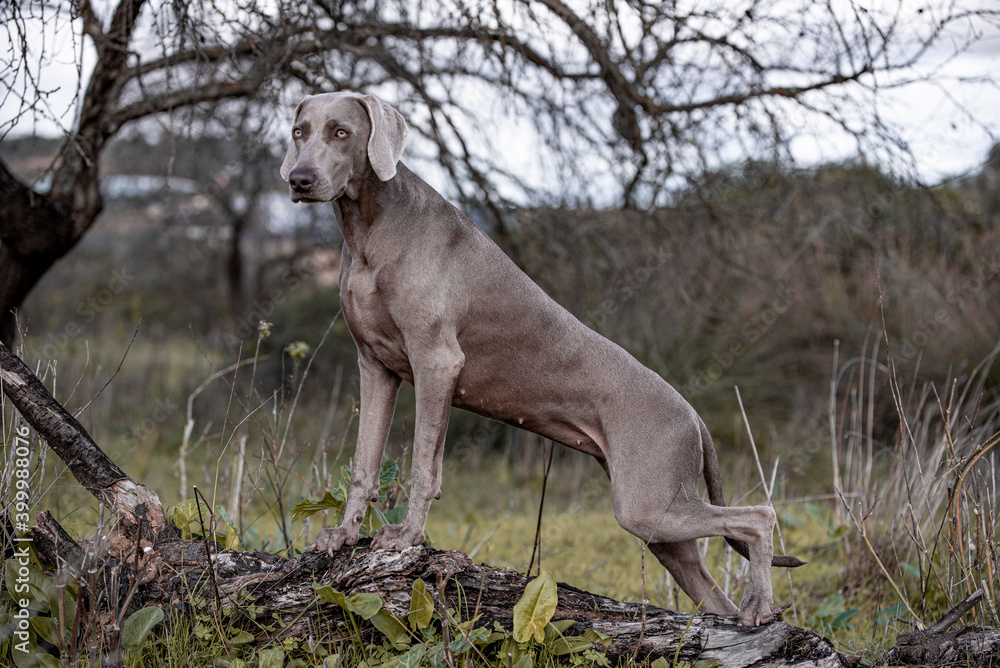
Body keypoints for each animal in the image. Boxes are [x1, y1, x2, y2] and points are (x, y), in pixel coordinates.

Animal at [282, 90, 804, 628]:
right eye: (300, 131)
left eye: (341, 132)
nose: (298, 180)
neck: (369, 227)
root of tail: (695, 417)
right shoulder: (376, 367)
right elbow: (363, 463)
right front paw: (341, 535)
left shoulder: (436, 361)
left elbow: (426, 464)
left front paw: (406, 537)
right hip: (660, 521)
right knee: (713, 589)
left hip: (647, 503)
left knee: (758, 517)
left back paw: (761, 606)